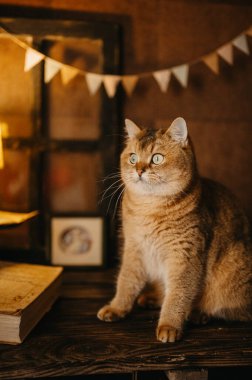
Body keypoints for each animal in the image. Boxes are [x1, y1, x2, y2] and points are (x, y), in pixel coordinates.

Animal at [97, 117, 252, 342]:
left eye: (157, 158)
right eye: (133, 158)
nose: (139, 170)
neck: (149, 209)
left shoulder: (184, 255)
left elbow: (177, 294)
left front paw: (169, 325)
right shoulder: (134, 248)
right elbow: (126, 281)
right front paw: (117, 308)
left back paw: (198, 314)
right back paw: (152, 298)